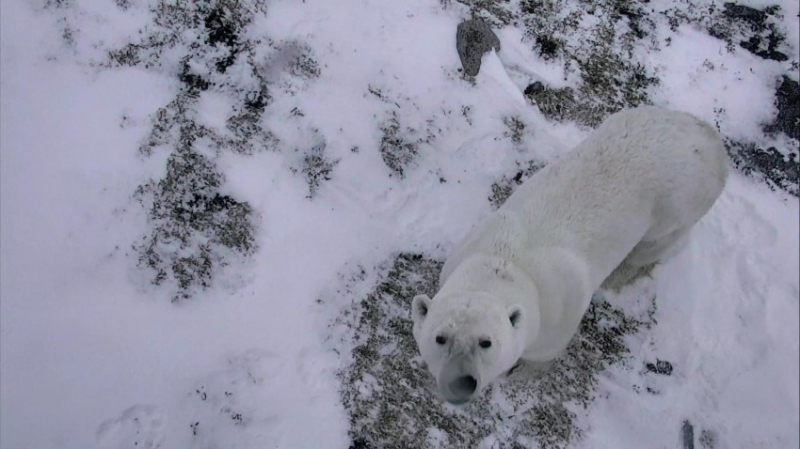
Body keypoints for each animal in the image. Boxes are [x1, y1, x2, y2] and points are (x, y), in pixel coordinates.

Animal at [410, 105, 728, 402]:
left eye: (486, 342)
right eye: (440, 338)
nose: (462, 382)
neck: (507, 263)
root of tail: (713, 142)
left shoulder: (559, 312)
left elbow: (543, 351)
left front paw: (521, 370)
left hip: (677, 204)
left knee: (652, 243)